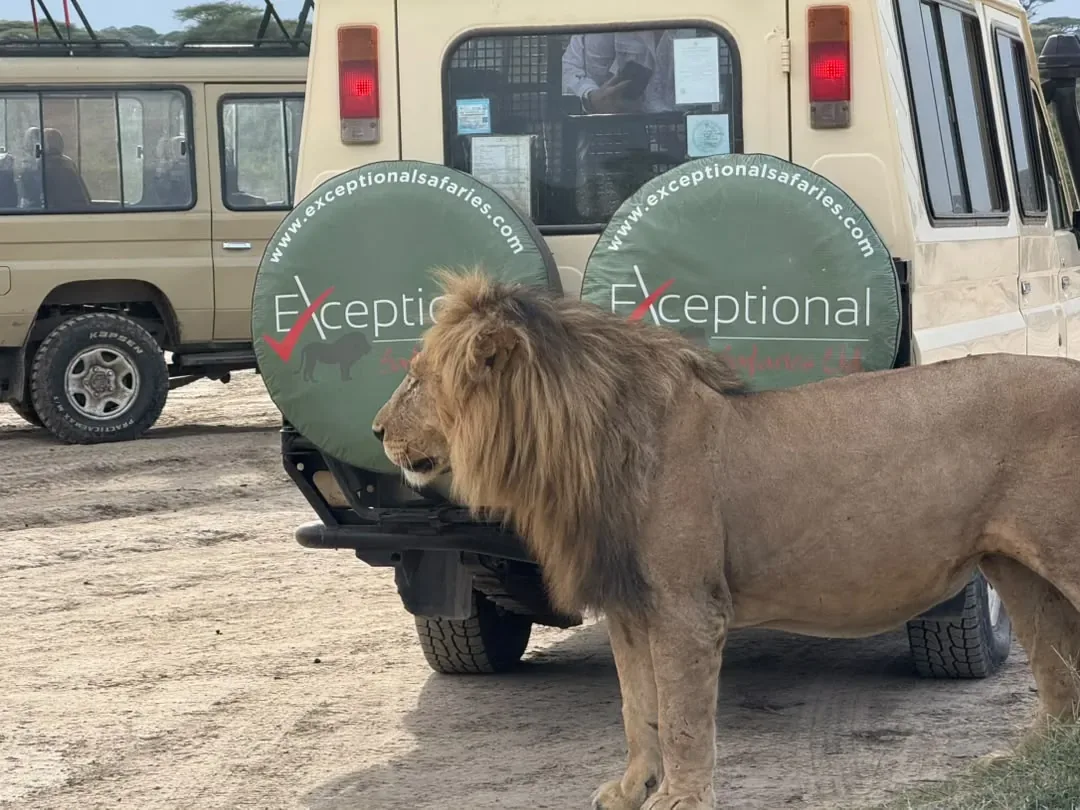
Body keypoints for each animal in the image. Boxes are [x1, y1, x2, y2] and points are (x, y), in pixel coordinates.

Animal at [372, 269, 1080, 810]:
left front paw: (679, 799)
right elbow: (637, 707)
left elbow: (683, 716)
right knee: (1058, 675)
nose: (377, 430)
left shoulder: (688, 607)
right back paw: (1024, 758)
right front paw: (631, 789)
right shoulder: (630, 606)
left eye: (416, 377)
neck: (578, 450)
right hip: (1017, 570)